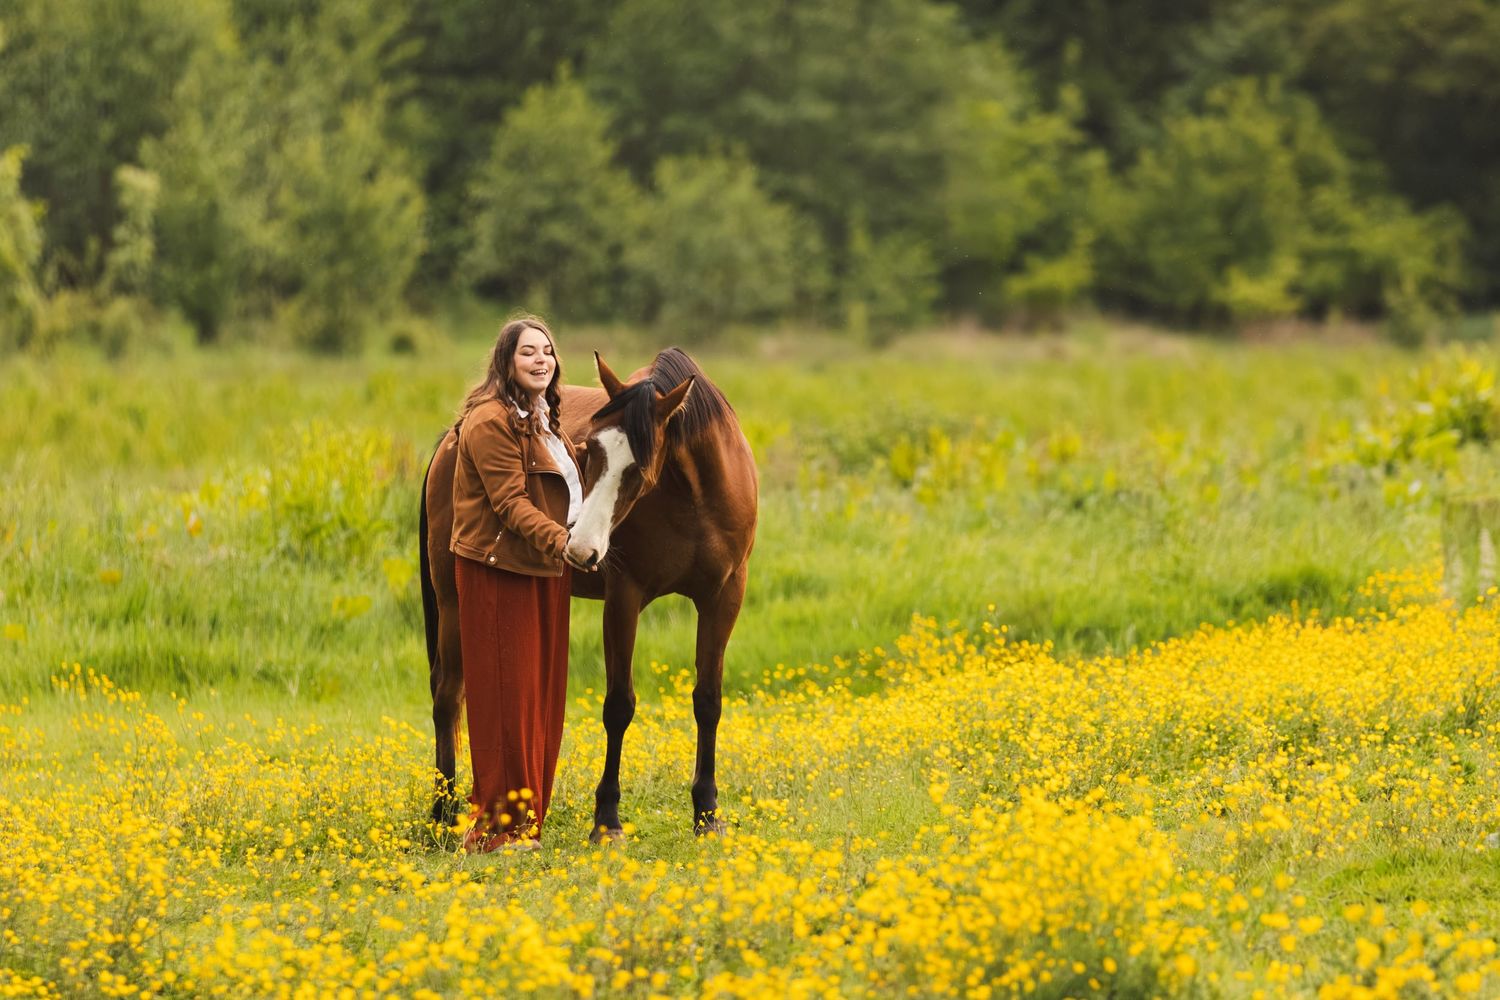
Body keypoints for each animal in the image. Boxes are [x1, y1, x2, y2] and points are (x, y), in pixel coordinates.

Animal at [419, 347, 758, 841]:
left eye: (639, 466)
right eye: (588, 450)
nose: (581, 547)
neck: (695, 498)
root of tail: (452, 438)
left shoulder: (723, 598)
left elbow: (708, 701)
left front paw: (707, 814)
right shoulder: (623, 598)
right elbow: (619, 705)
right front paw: (607, 820)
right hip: (451, 601)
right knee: (447, 695)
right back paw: (442, 816)